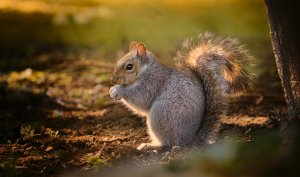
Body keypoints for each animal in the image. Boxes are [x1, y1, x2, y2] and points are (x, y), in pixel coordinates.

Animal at [109, 32, 254, 148]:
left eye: (129, 66)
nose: (114, 80)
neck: (146, 70)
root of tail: (188, 141)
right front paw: (112, 89)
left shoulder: (154, 82)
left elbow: (142, 99)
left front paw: (117, 90)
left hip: (161, 115)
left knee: (168, 143)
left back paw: (151, 146)